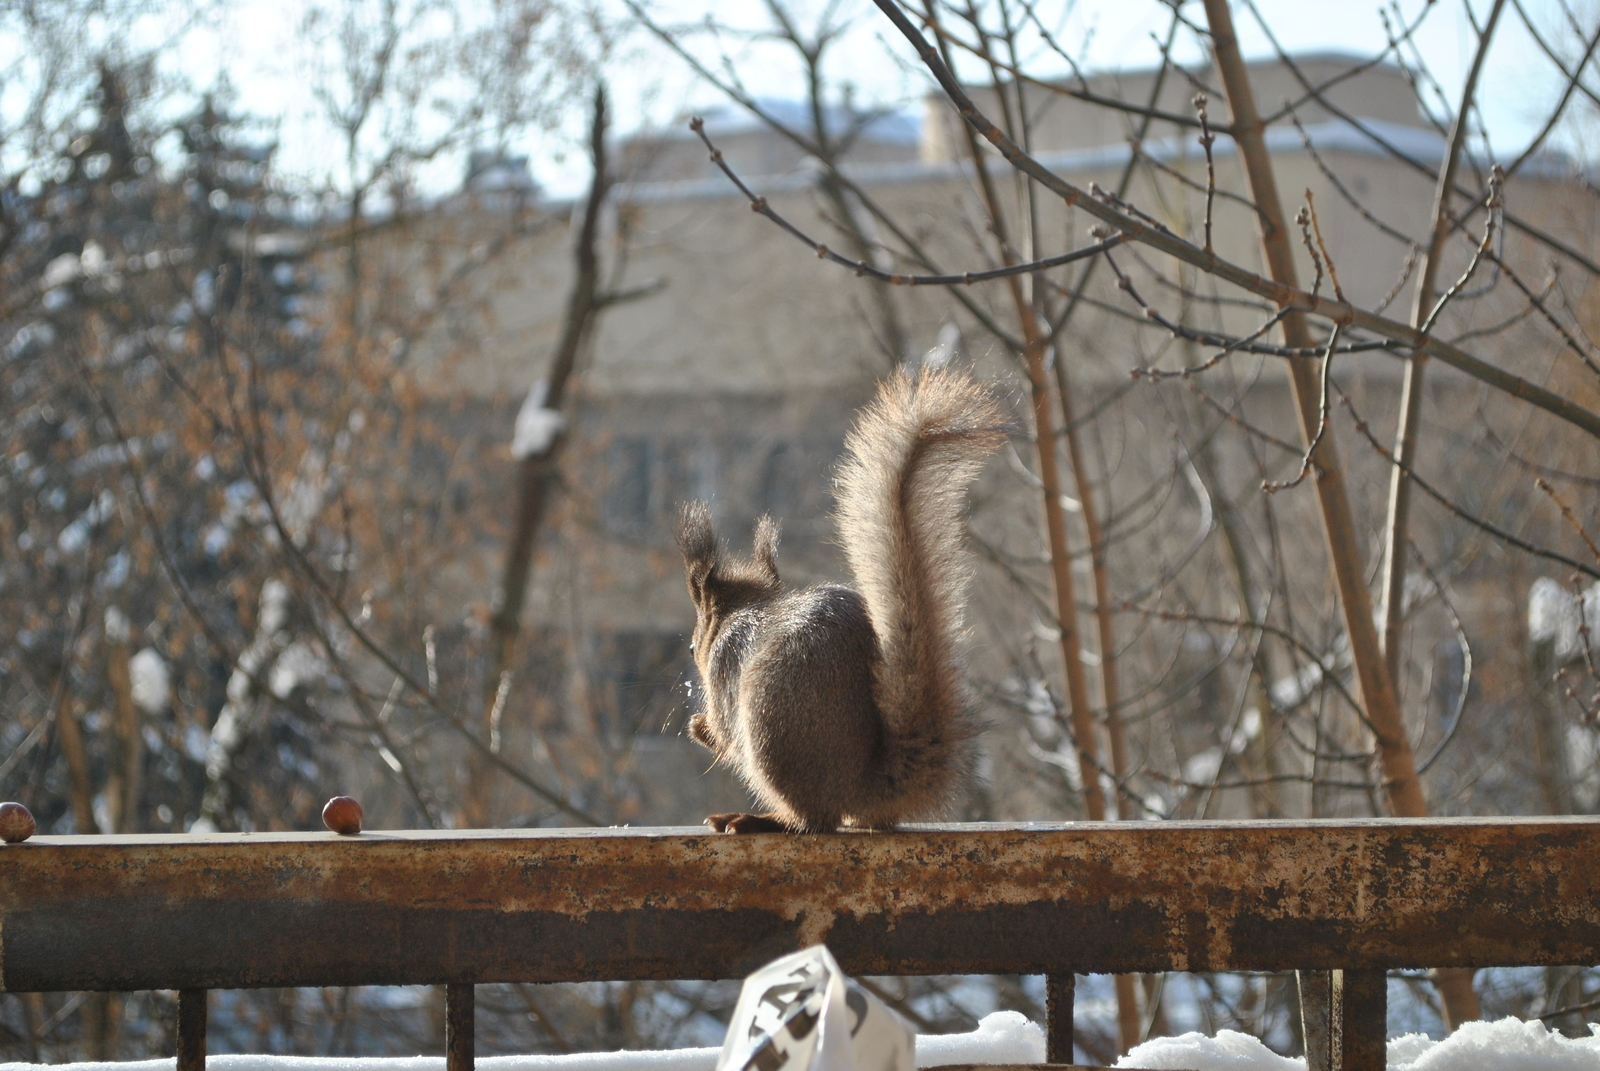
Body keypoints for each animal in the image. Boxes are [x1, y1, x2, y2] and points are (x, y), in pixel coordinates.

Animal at [672, 369, 998, 832]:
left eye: (692, 649)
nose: (690, 656)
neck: (747, 609)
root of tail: (865, 785)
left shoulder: (725, 661)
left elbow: (724, 730)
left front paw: (700, 726)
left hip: (771, 732)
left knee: (815, 819)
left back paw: (757, 819)